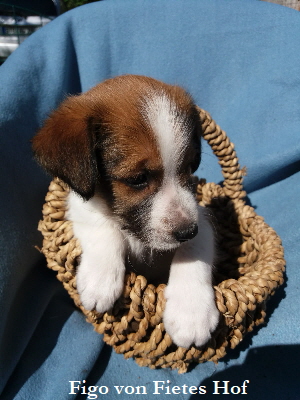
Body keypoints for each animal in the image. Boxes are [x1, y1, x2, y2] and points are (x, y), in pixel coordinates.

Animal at [32, 76, 219, 350]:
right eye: (138, 179)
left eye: (188, 167)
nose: (187, 231)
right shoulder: (80, 205)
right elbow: (105, 227)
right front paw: (100, 279)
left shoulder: (203, 221)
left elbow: (195, 250)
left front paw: (191, 312)